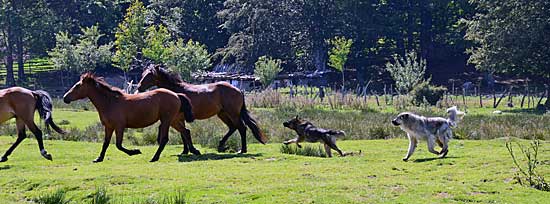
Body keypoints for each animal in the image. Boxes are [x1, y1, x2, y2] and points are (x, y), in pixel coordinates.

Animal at [63, 73, 197, 163]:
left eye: (77, 86)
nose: (65, 98)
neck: (110, 102)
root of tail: (176, 95)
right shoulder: (109, 127)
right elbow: (106, 143)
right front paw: (99, 158)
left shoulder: (119, 126)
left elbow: (118, 145)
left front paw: (135, 151)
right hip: (173, 120)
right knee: (186, 131)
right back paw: (194, 151)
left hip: (166, 120)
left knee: (165, 139)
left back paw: (154, 158)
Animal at [137, 65, 268, 153]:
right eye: (143, 74)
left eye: (150, 75)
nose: (139, 87)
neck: (177, 92)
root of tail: (238, 90)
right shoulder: (179, 118)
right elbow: (183, 133)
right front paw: (185, 151)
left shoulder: (178, 117)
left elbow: (184, 132)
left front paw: (188, 150)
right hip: (223, 114)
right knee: (233, 127)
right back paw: (221, 145)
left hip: (232, 113)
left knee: (241, 128)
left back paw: (242, 150)